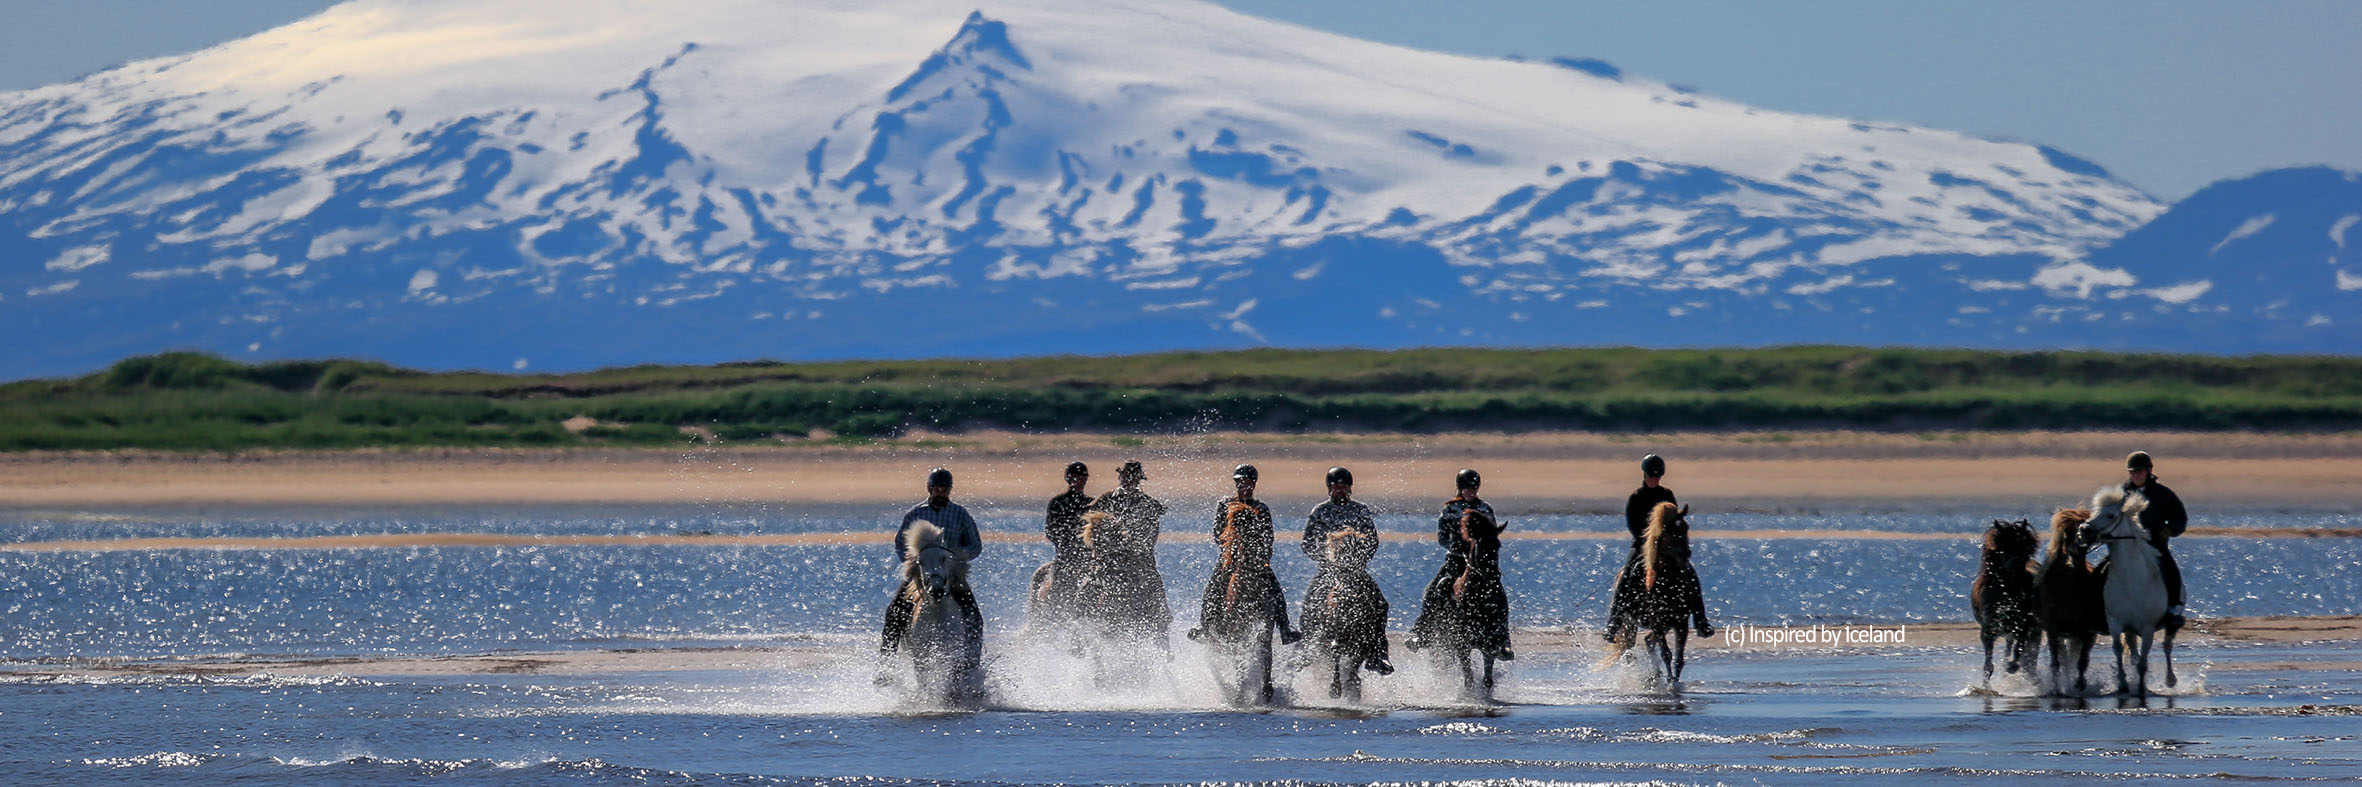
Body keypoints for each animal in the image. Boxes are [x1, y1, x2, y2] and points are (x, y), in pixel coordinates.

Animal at [1199, 498, 1294, 709]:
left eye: (1258, 520)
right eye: (1228, 520)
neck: (1247, 588)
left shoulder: (1265, 623)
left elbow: (1264, 651)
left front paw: (1267, 690)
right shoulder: (1236, 632)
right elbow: (1240, 660)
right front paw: (1240, 695)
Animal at [1606, 503, 1700, 680]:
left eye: (1686, 527)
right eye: (1669, 530)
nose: (1686, 553)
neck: (1669, 584)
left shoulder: (1681, 622)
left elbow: (1679, 659)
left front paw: (1675, 680)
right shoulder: (1657, 621)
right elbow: (1666, 653)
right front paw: (1671, 680)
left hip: (1666, 624)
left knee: (1648, 640)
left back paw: (1656, 673)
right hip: (1629, 623)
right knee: (1629, 649)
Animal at [1965, 517, 2040, 690]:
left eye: (2026, 547)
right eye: (2003, 546)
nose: (2017, 567)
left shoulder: (2023, 627)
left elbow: (2019, 651)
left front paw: (2011, 667)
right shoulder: (1988, 631)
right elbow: (1988, 666)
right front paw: (1986, 688)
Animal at [2031, 503, 2106, 694]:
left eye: (2084, 531)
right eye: (2065, 535)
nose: (2073, 558)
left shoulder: (2087, 632)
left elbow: (2081, 662)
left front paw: (2079, 685)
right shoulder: (2053, 631)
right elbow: (2056, 663)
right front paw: (2056, 688)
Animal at [2097, 484, 2163, 694]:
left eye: (2110, 515)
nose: (2083, 530)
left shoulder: (2149, 628)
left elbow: (2143, 660)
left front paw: (2141, 687)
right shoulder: (2116, 622)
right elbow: (2118, 649)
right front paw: (2123, 683)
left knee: (2167, 648)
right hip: (2129, 629)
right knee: (2133, 651)